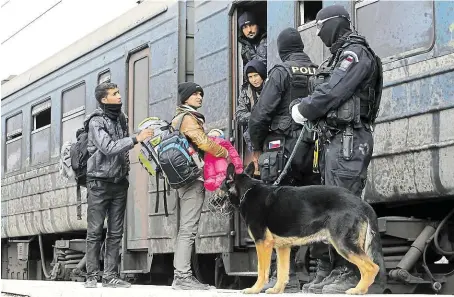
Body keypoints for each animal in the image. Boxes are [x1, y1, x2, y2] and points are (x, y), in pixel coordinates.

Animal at [222, 162, 384, 294]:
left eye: (221, 185)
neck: (247, 190)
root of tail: (361, 203)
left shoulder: (262, 243)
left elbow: (262, 270)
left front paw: (254, 289)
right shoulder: (282, 248)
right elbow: (282, 272)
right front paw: (277, 290)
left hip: (344, 244)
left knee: (372, 268)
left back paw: (358, 290)